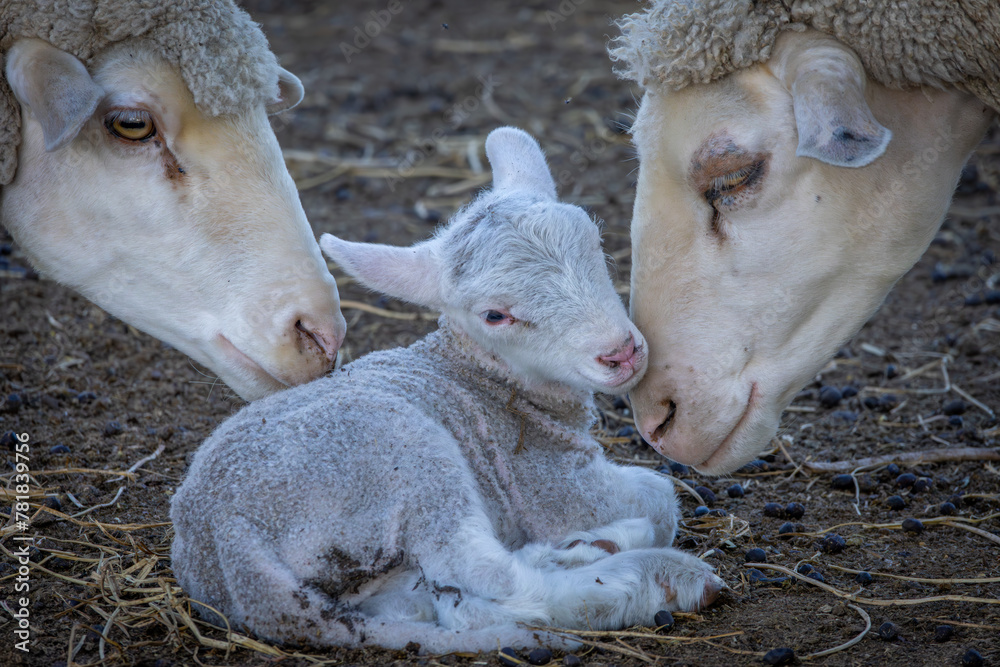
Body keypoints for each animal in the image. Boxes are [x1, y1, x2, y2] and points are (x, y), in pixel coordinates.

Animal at [170, 128, 720, 656]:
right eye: (494, 315)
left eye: (593, 240)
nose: (621, 352)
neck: (480, 374)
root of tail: (226, 545)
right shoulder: (548, 483)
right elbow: (661, 497)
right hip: (400, 455)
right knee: (483, 573)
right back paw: (650, 572)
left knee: (447, 605)